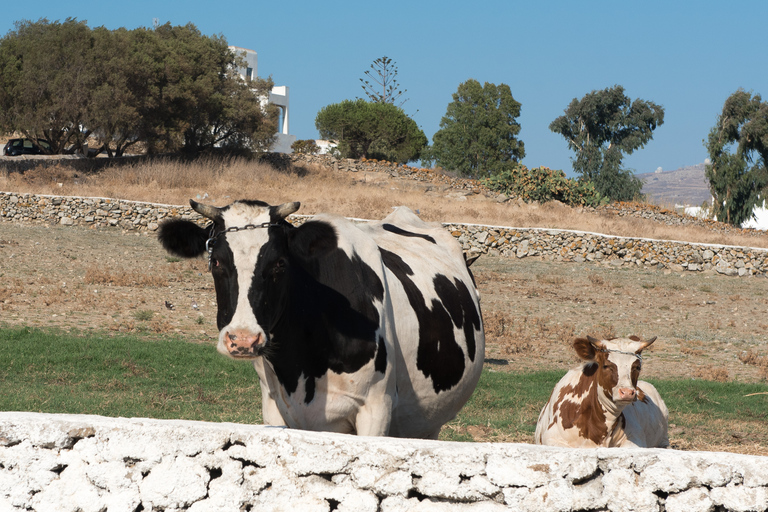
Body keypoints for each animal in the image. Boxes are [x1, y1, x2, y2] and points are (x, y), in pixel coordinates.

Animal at [157, 198, 484, 438]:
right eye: (216, 262)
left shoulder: (375, 408)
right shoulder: (275, 408)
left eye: (280, 263)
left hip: (427, 423)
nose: (243, 340)